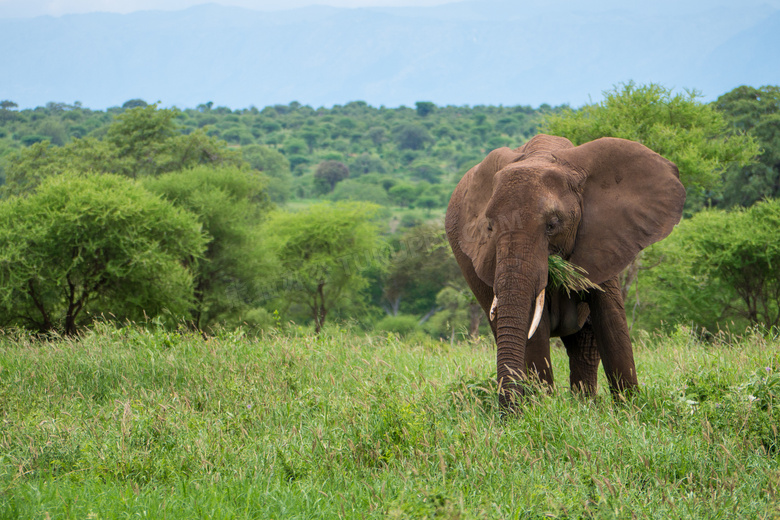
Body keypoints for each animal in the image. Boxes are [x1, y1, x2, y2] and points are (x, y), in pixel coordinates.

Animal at [448, 133, 684, 406]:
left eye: (552, 225)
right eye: (489, 227)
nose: (508, 411)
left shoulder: (605, 238)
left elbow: (611, 320)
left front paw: (632, 408)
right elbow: (535, 331)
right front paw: (543, 408)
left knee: (585, 346)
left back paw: (585, 404)